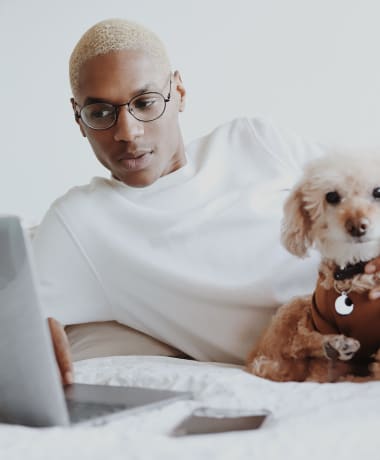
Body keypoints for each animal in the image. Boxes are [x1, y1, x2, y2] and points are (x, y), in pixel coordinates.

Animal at [246, 153, 380, 382]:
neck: (355, 270)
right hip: (294, 308)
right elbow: (319, 368)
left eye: (378, 191)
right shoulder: (321, 319)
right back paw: (334, 345)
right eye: (331, 196)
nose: (357, 226)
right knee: (293, 347)